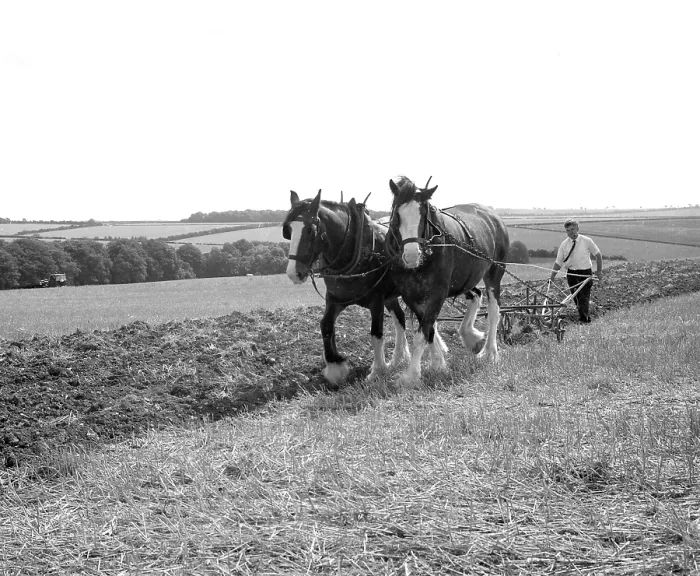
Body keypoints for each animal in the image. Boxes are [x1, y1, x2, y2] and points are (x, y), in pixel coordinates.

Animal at [283, 190, 410, 385]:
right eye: (288, 230)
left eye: (310, 230)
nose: (293, 273)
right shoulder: (335, 298)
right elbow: (326, 325)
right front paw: (335, 367)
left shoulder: (376, 300)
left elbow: (376, 334)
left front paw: (377, 371)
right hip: (391, 296)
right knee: (400, 319)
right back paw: (399, 359)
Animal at [386, 176, 510, 386]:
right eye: (396, 215)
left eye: (423, 215)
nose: (411, 255)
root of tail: (493, 215)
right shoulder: (410, 295)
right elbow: (428, 329)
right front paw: (438, 364)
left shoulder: (438, 293)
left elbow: (423, 332)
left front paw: (411, 376)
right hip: (465, 278)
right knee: (475, 295)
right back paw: (470, 335)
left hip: (495, 272)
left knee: (494, 311)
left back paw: (489, 353)